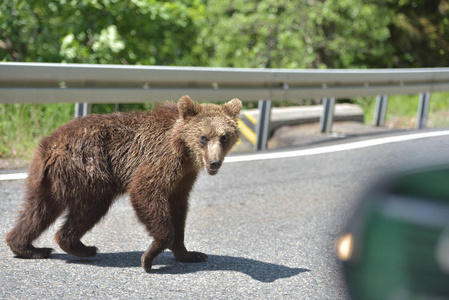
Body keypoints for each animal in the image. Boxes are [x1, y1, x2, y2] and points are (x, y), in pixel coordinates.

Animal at [5, 95, 242, 272]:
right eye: (203, 137)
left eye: (224, 137)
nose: (214, 162)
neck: (182, 149)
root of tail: (50, 145)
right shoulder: (161, 160)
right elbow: (145, 191)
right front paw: (149, 257)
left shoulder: (184, 177)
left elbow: (178, 208)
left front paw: (190, 254)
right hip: (90, 169)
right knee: (89, 208)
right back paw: (81, 247)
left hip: (48, 181)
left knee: (38, 211)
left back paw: (28, 247)